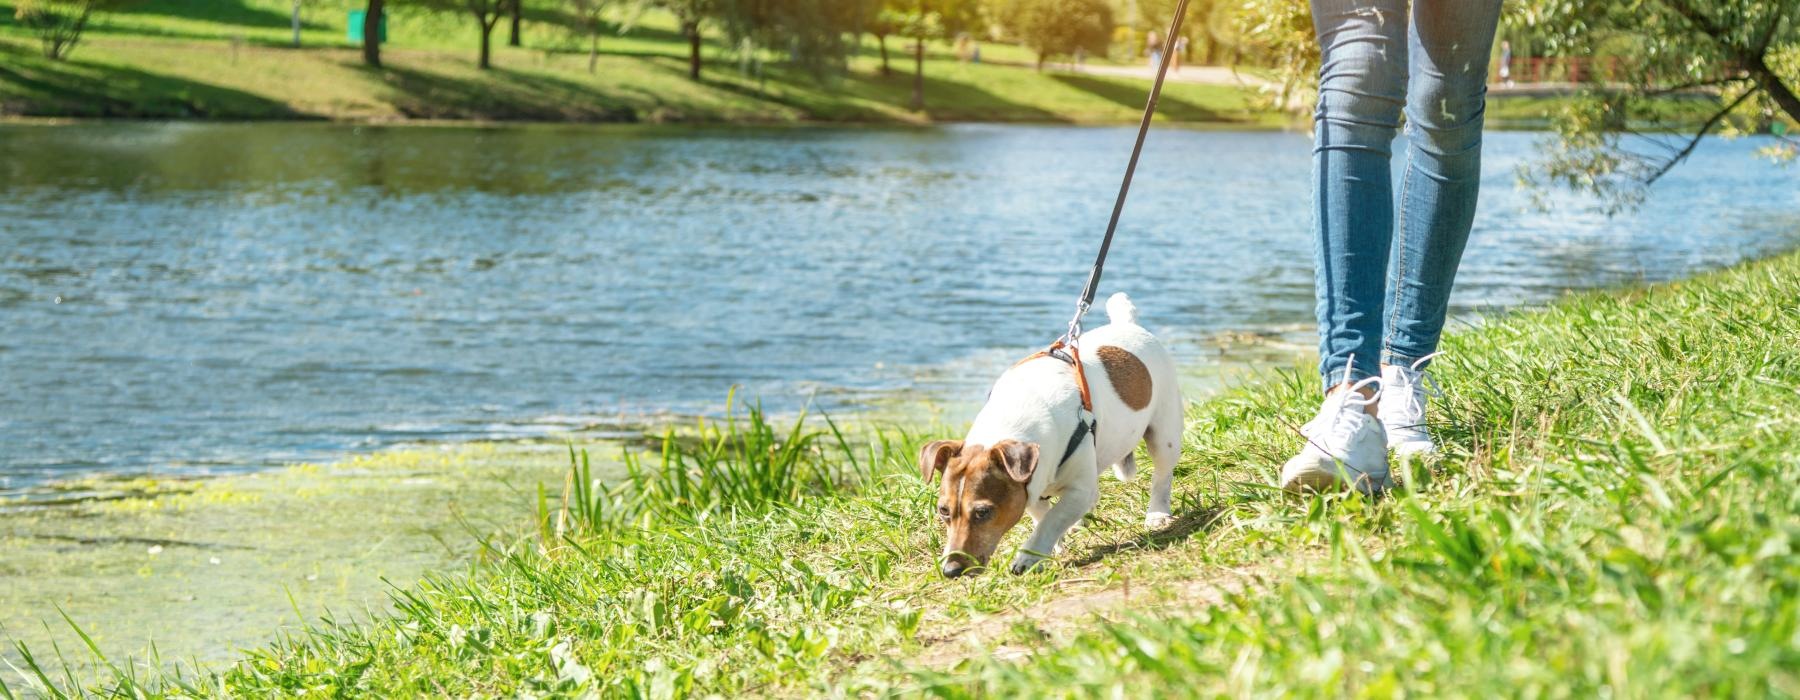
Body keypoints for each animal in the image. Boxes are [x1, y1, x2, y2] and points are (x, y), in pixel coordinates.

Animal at [921, 291, 1188, 575]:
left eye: (983, 512)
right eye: (943, 511)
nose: (950, 570)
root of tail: (1127, 323)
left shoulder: (1080, 489)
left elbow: (1052, 519)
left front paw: (1028, 556)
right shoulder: (1031, 488)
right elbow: (1044, 517)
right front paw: (1051, 548)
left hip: (1164, 434)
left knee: (1162, 475)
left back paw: (1157, 513)